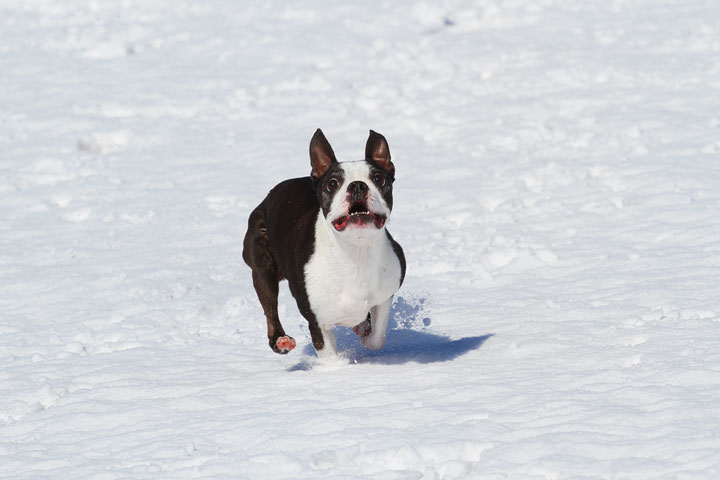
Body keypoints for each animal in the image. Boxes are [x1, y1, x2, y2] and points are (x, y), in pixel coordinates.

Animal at [243, 128, 404, 356]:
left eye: (378, 179)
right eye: (333, 183)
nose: (357, 185)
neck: (356, 250)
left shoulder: (385, 295)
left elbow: (377, 337)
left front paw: (365, 332)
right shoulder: (317, 323)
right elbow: (329, 356)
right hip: (261, 262)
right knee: (269, 307)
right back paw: (280, 340)